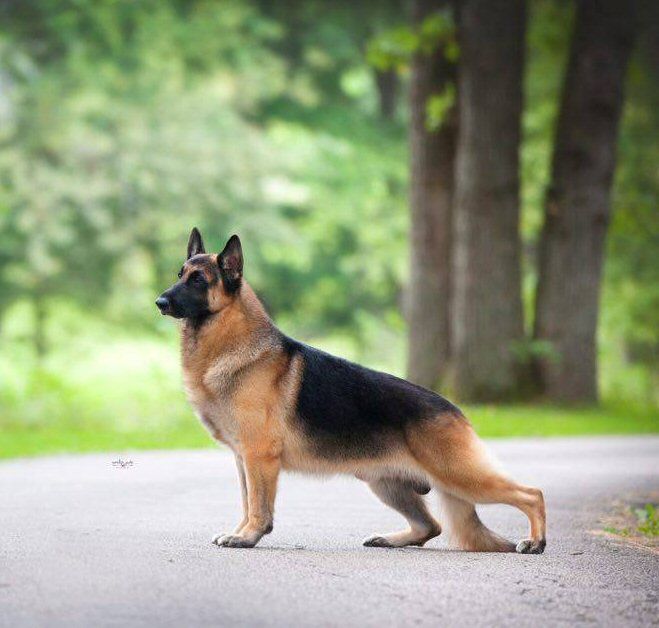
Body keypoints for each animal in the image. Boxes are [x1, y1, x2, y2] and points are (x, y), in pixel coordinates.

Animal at [155, 231, 548, 556]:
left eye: (198, 280)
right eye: (179, 274)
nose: (159, 302)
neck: (230, 342)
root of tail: (455, 410)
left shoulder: (258, 457)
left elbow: (258, 506)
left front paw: (248, 536)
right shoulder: (243, 460)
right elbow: (247, 501)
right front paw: (240, 532)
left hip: (460, 475)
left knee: (532, 493)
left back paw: (535, 541)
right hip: (384, 483)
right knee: (431, 526)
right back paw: (391, 539)